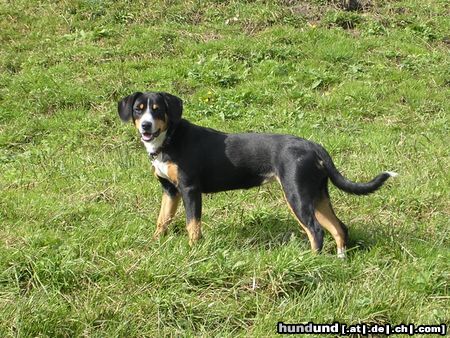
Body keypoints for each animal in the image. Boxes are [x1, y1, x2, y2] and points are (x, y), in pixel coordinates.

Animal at [118, 91, 396, 258]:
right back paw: (339, 260)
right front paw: (155, 245)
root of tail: (312, 145)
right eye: (139, 109)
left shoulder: (189, 190)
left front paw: (193, 251)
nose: (146, 126)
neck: (169, 141)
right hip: (317, 195)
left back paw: (309, 262)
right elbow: (162, 221)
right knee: (339, 228)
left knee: (316, 231)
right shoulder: (170, 191)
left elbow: (192, 225)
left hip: (296, 194)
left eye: (157, 109)